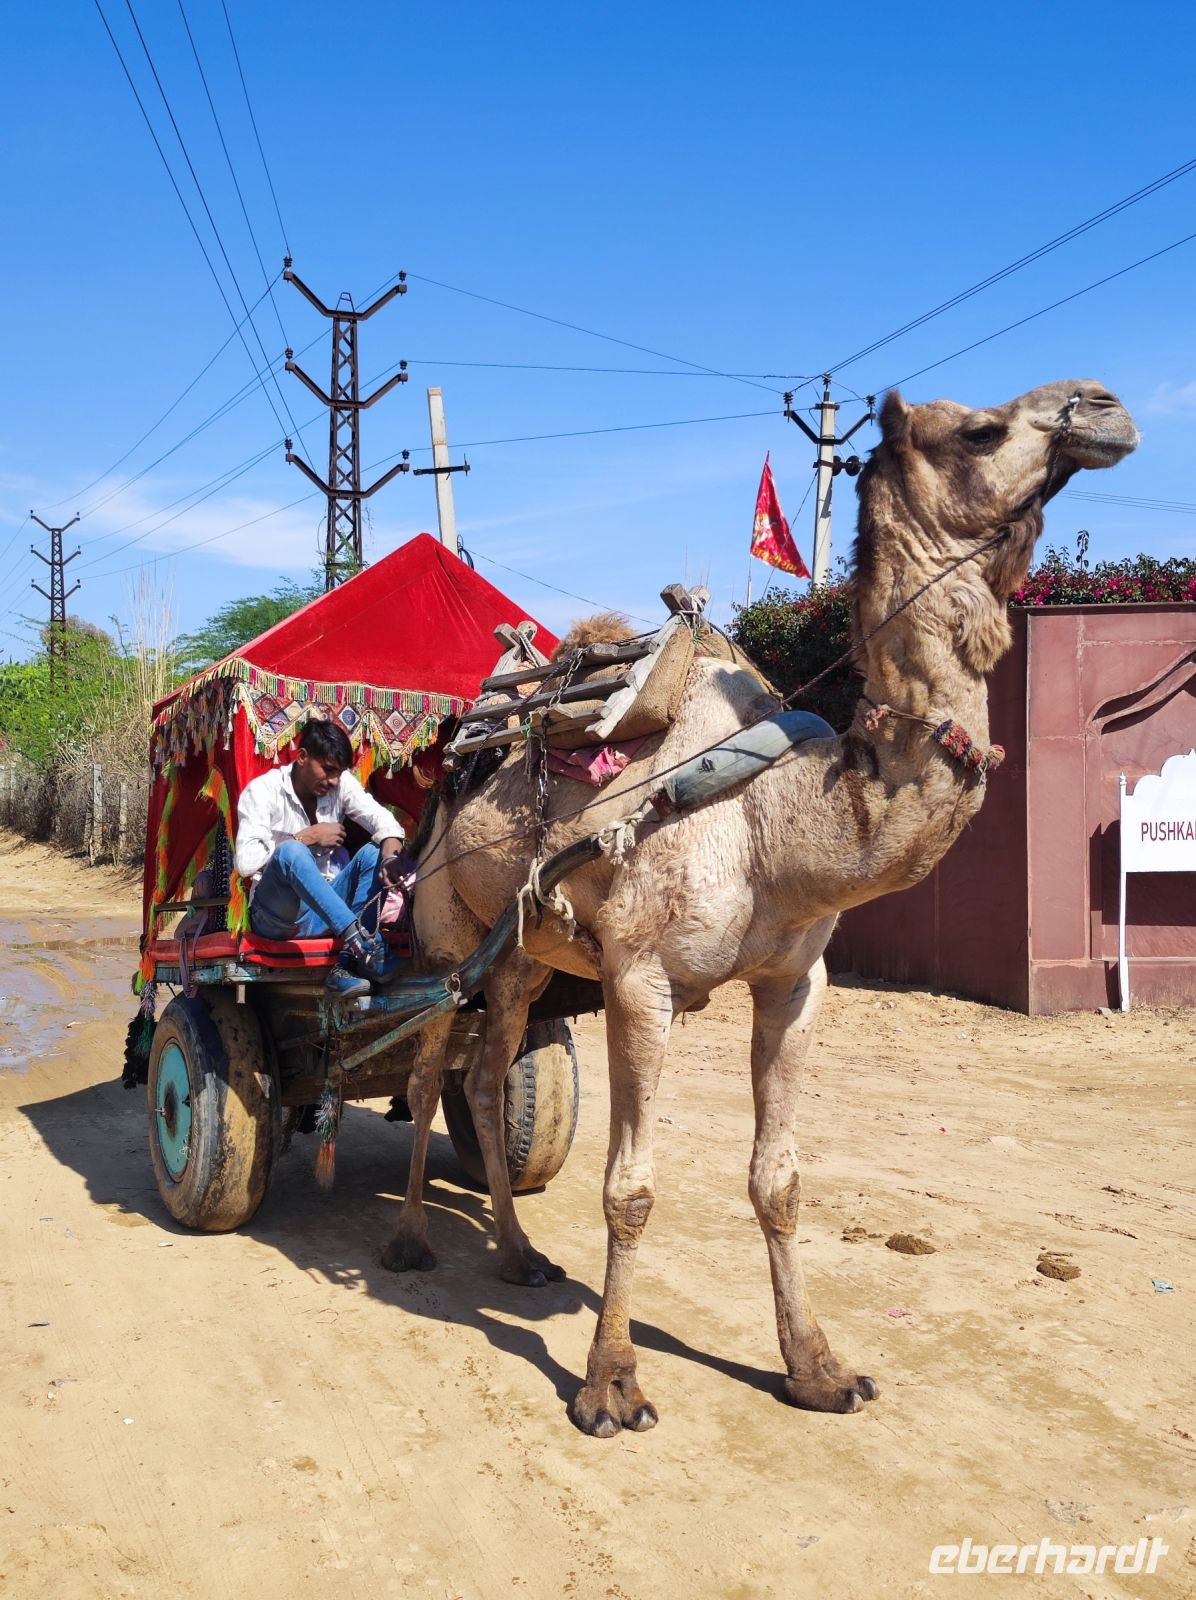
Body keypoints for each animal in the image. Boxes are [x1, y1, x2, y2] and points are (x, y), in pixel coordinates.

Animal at [383, 379, 1138, 1437]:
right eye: (981, 429)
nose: (1107, 407)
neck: (771, 818)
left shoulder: (794, 982)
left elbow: (778, 1180)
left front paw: (819, 1370)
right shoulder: (639, 978)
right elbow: (630, 1188)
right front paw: (610, 1386)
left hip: (525, 957)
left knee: (488, 1076)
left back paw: (519, 1255)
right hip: (446, 935)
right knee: (423, 1076)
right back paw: (413, 1240)